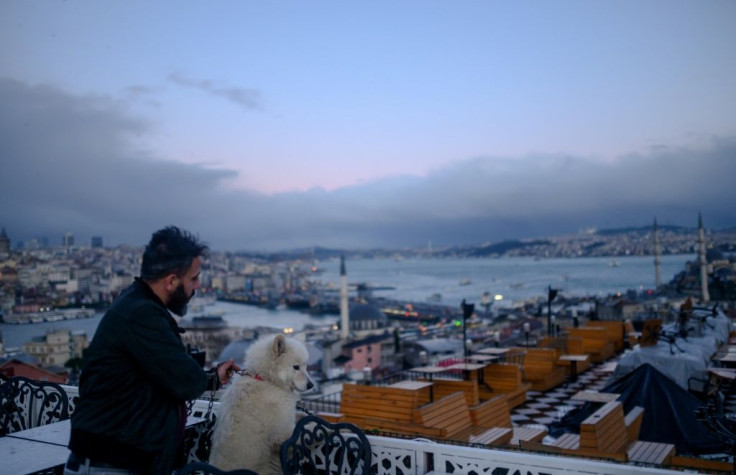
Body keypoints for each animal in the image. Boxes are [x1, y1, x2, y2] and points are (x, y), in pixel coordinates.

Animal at [207, 332, 314, 474]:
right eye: (296, 367)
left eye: (306, 366)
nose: (311, 385)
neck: (267, 381)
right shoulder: (283, 433)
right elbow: (306, 428)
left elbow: (301, 416)